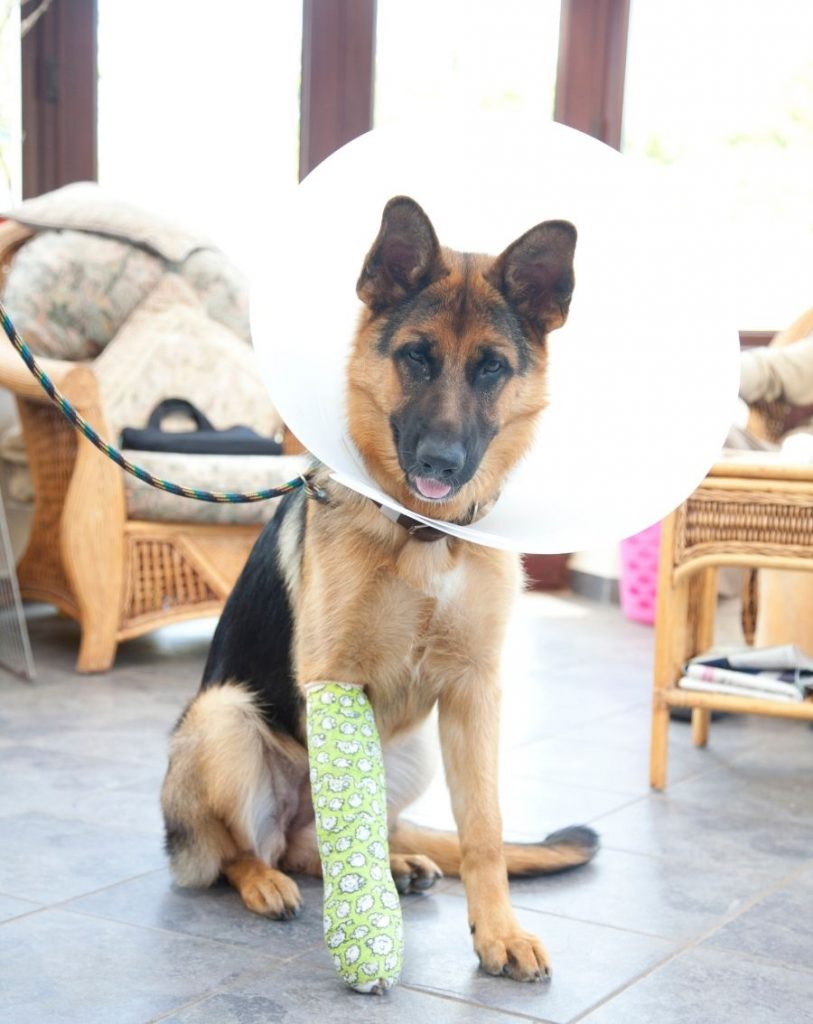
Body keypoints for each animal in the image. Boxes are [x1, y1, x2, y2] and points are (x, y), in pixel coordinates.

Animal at [161, 193, 597, 983]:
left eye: (491, 368)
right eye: (416, 356)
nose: (440, 463)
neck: (423, 536)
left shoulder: (473, 693)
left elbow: (484, 830)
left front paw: (498, 932)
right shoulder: (335, 681)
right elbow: (350, 817)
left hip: (412, 749)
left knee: (313, 844)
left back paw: (394, 863)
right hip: (223, 717)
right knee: (242, 850)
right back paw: (266, 881)